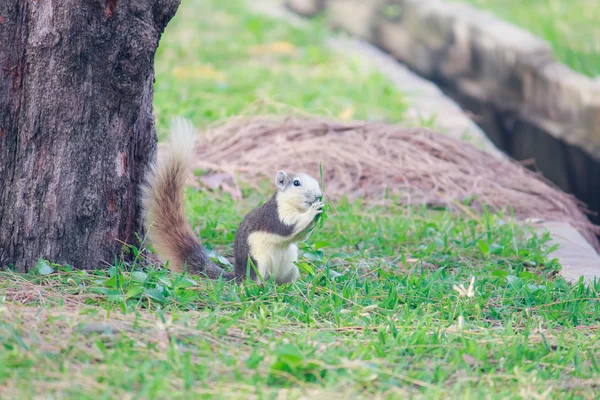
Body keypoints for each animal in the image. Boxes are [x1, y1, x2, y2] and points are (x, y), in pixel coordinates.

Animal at [140, 118, 324, 284]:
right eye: (296, 183)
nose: (318, 195)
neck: (294, 207)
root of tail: (238, 275)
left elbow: (302, 237)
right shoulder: (275, 215)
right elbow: (288, 227)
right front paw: (314, 210)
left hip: (291, 267)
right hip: (258, 263)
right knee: (251, 282)